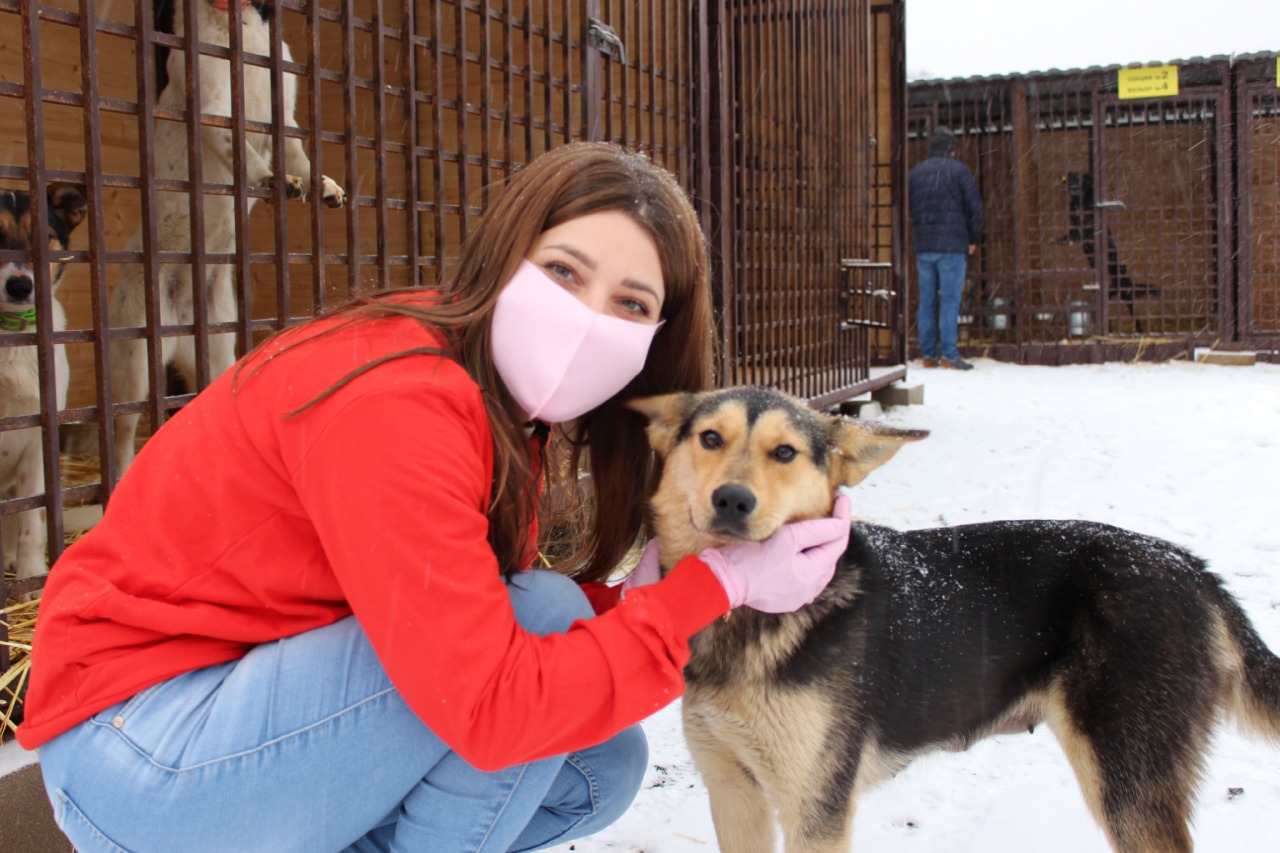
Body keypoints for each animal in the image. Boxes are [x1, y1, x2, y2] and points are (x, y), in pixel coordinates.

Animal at [109, 0, 345, 471]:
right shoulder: (215, 107)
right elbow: (248, 155)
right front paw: (277, 179)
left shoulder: (284, 116)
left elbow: (300, 155)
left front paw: (322, 183)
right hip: (135, 367)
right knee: (124, 436)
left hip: (218, 355)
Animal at [624, 386, 1280, 850]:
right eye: (710, 438)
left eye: (784, 453)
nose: (733, 500)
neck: (749, 616)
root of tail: (1193, 568)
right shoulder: (734, 793)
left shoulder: (817, 809)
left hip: (1127, 783)